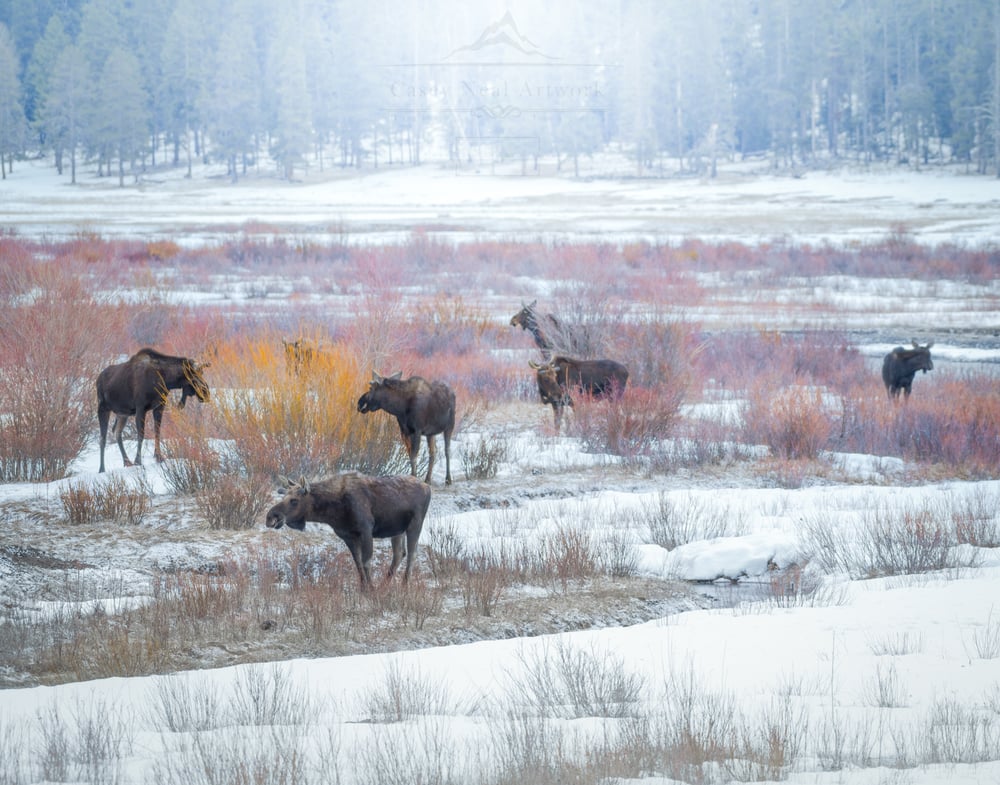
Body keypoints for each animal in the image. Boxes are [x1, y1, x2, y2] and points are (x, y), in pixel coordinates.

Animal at [264, 468, 432, 584]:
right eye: (283, 496)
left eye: (294, 500)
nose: (271, 517)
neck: (333, 510)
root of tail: (428, 487)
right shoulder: (347, 535)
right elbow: (358, 563)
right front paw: (364, 589)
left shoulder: (366, 529)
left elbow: (366, 562)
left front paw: (371, 589)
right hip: (397, 529)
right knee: (399, 554)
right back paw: (385, 585)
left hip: (415, 524)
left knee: (412, 554)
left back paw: (404, 585)